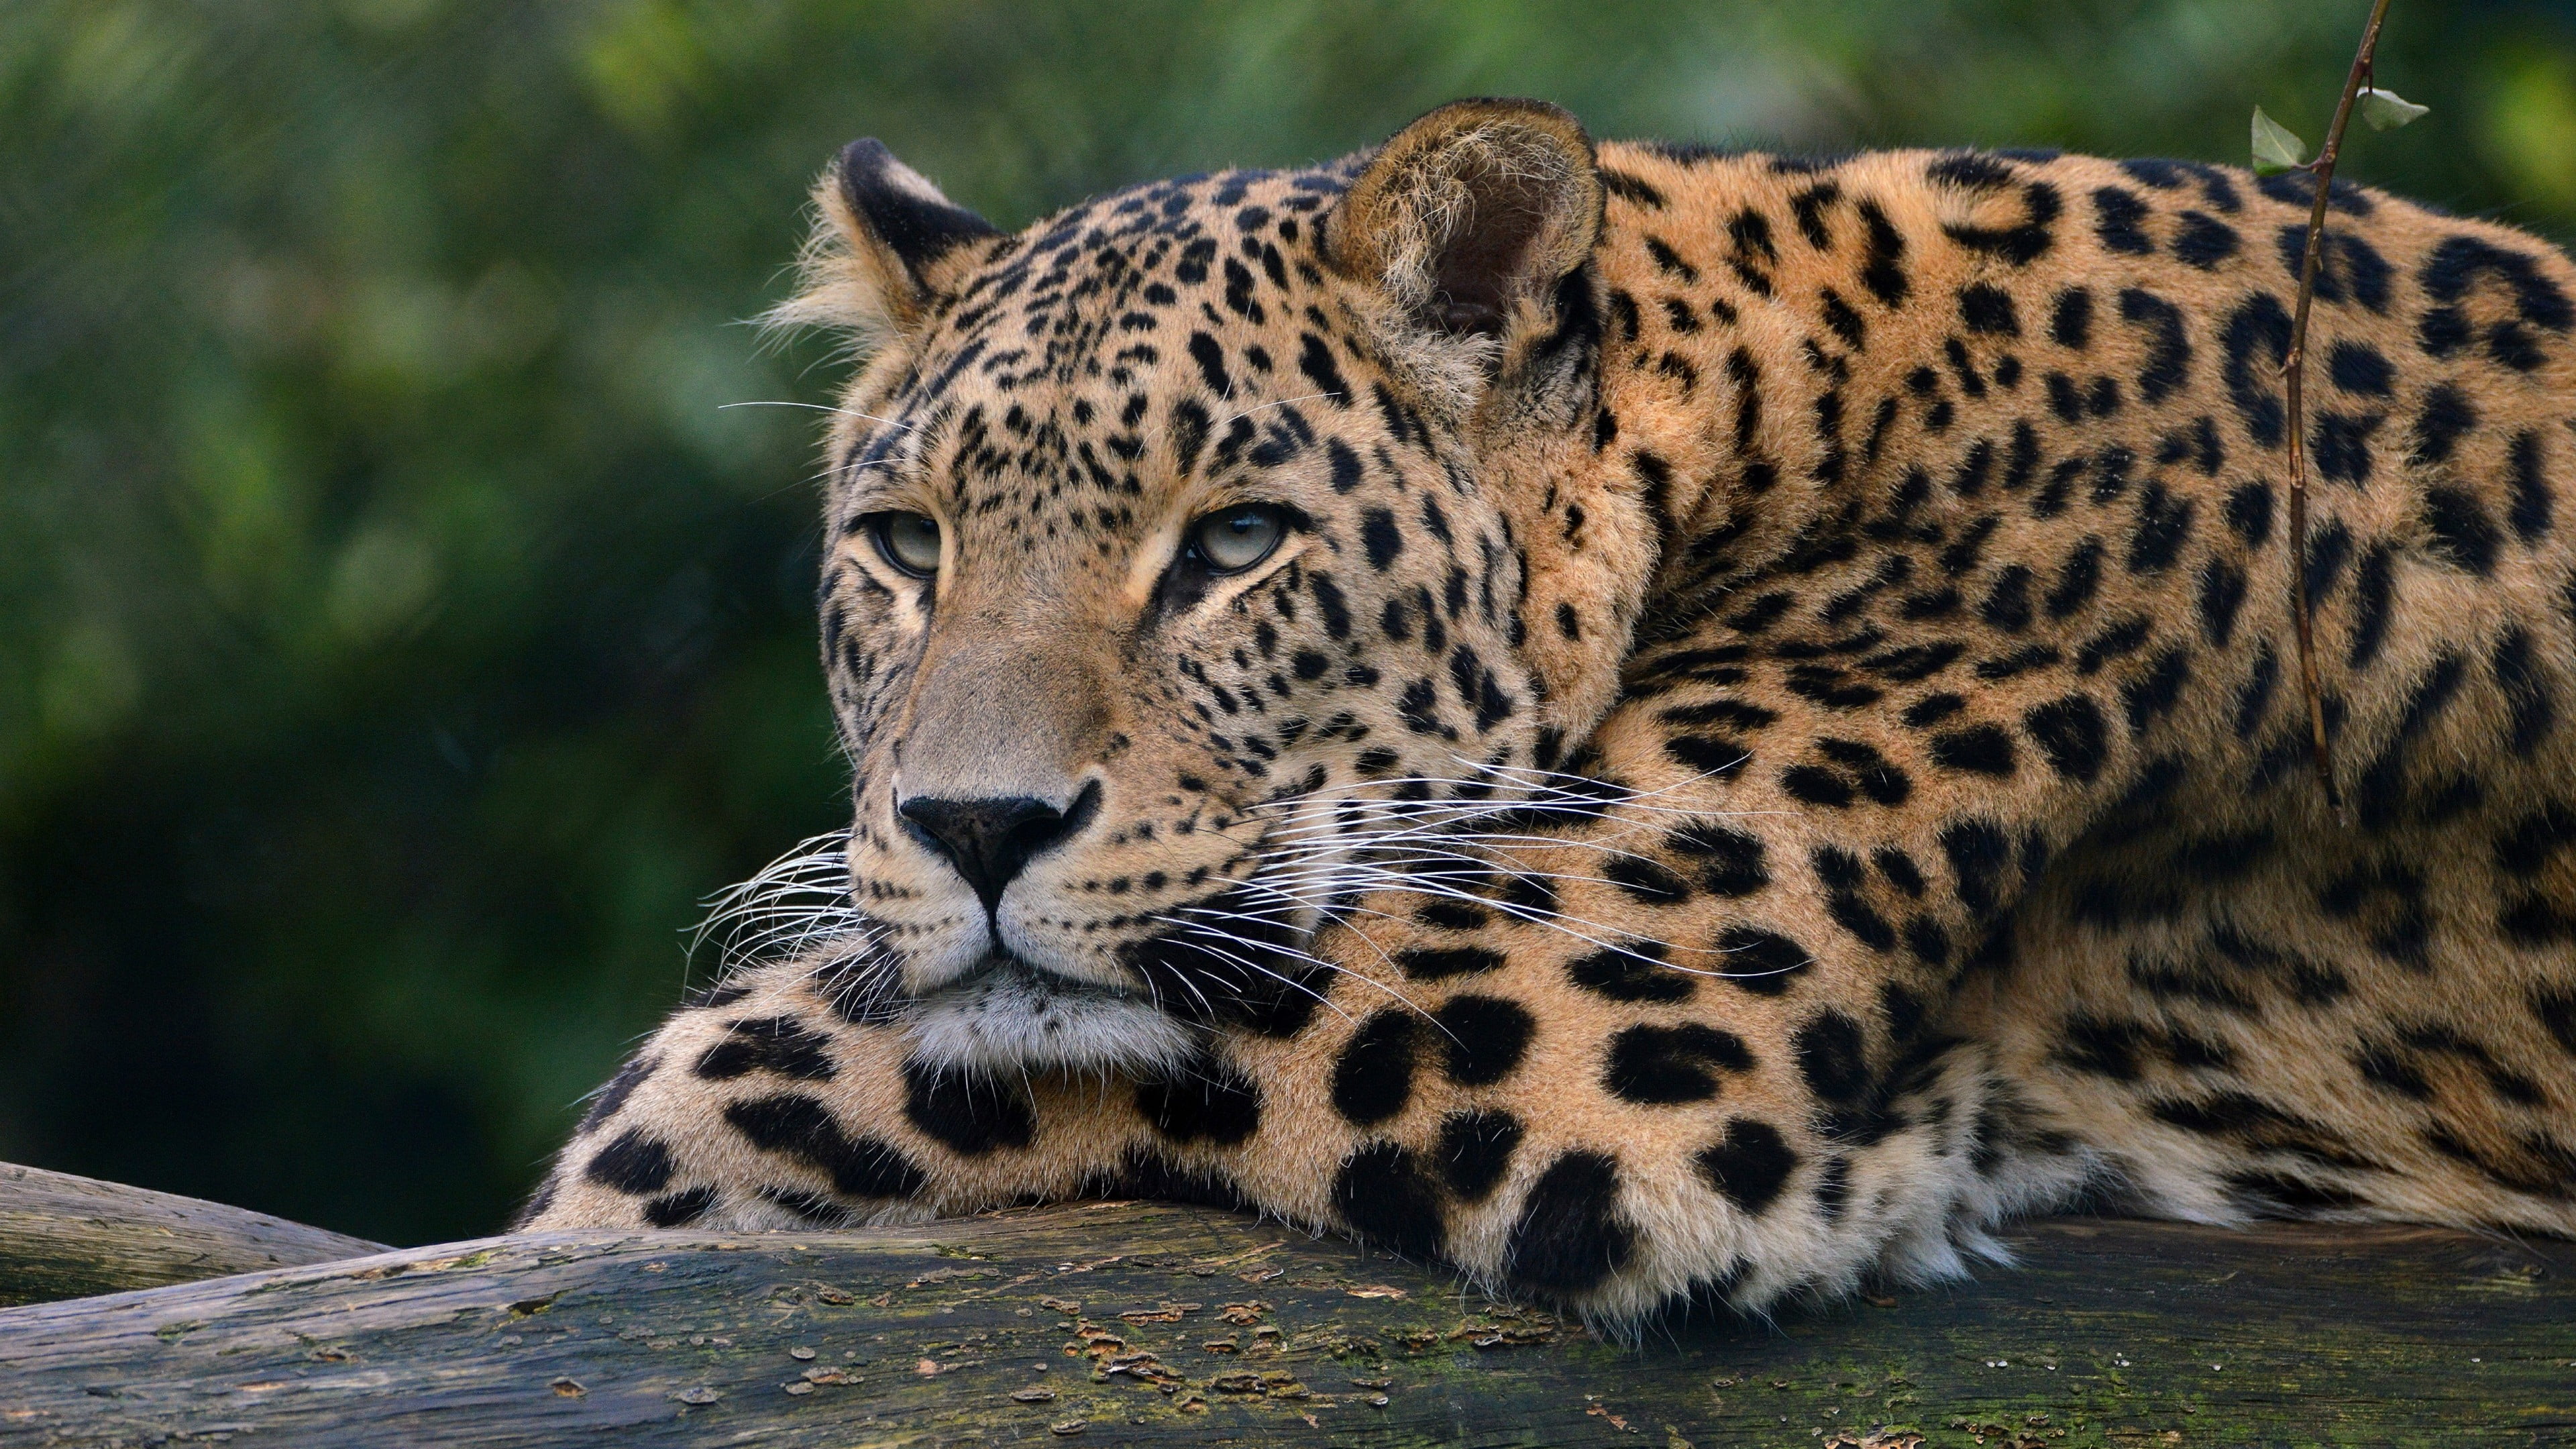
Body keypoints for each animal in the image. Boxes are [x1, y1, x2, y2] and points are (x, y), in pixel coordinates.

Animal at [519, 98, 2576, 1326]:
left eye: (1236, 542)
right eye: (905, 544)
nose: (973, 829)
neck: (1781, 408)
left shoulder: (1579, 1015)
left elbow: (717, 1093)